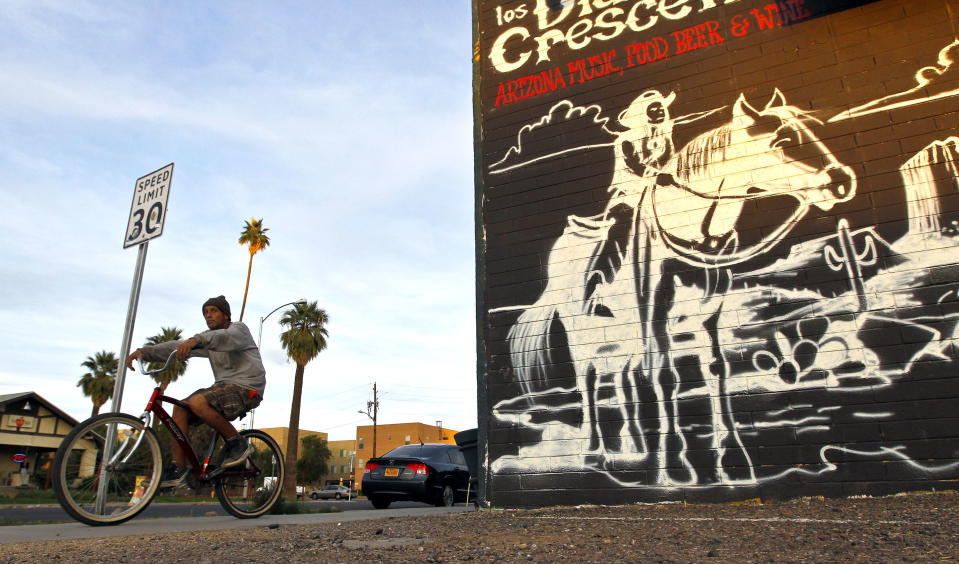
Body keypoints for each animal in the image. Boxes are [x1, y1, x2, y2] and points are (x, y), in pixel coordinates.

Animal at [506, 90, 860, 486]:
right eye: (780, 141)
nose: (841, 181)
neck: (690, 232)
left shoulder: (709, 313)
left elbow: (716, 368)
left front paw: (733, 458)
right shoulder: (656, 313)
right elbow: (665, 375)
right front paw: (675, 464)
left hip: (626, 334)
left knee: (622, 378)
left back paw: (635, 446)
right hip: (582, 333)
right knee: (589, 381)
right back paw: (596, 450)